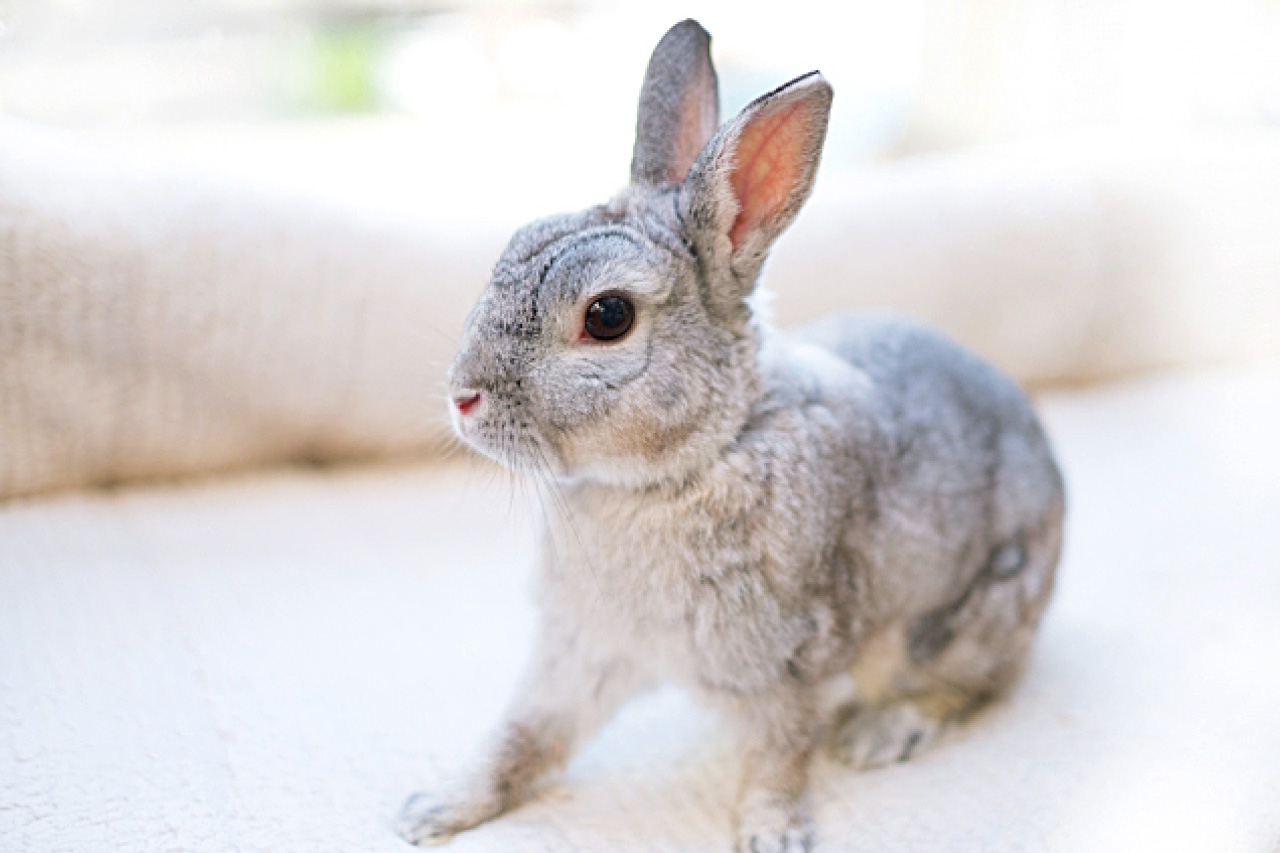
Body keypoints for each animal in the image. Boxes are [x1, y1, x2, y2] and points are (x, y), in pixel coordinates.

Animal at [399, 18, 1059, 850]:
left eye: (607, 316)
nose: (463, 398)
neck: (694, 460)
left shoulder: (788, 660)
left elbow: (780, 753)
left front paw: (771, 832)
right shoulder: (581, 649)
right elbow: (526, 730)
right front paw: (436, 807)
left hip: (969, 620)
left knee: (969, 688)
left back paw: (881, 732)